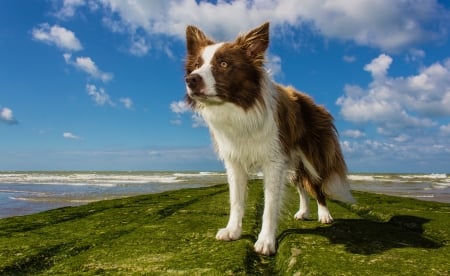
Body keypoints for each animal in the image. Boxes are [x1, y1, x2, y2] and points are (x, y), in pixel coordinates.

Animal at [183, 22, 356, 256]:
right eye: (196, 65)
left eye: (224, 63)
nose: (190, 80)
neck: (239, 109)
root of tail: (316, 104)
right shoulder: (235, 161)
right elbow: (236, 200)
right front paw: (233, 231)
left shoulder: (273, 161)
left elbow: (270, 206)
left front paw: (265, 241)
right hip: (293, 163)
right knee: (301, 185)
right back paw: (303, 212)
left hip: (313, 157)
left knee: (317, 184)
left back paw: (324, 214)